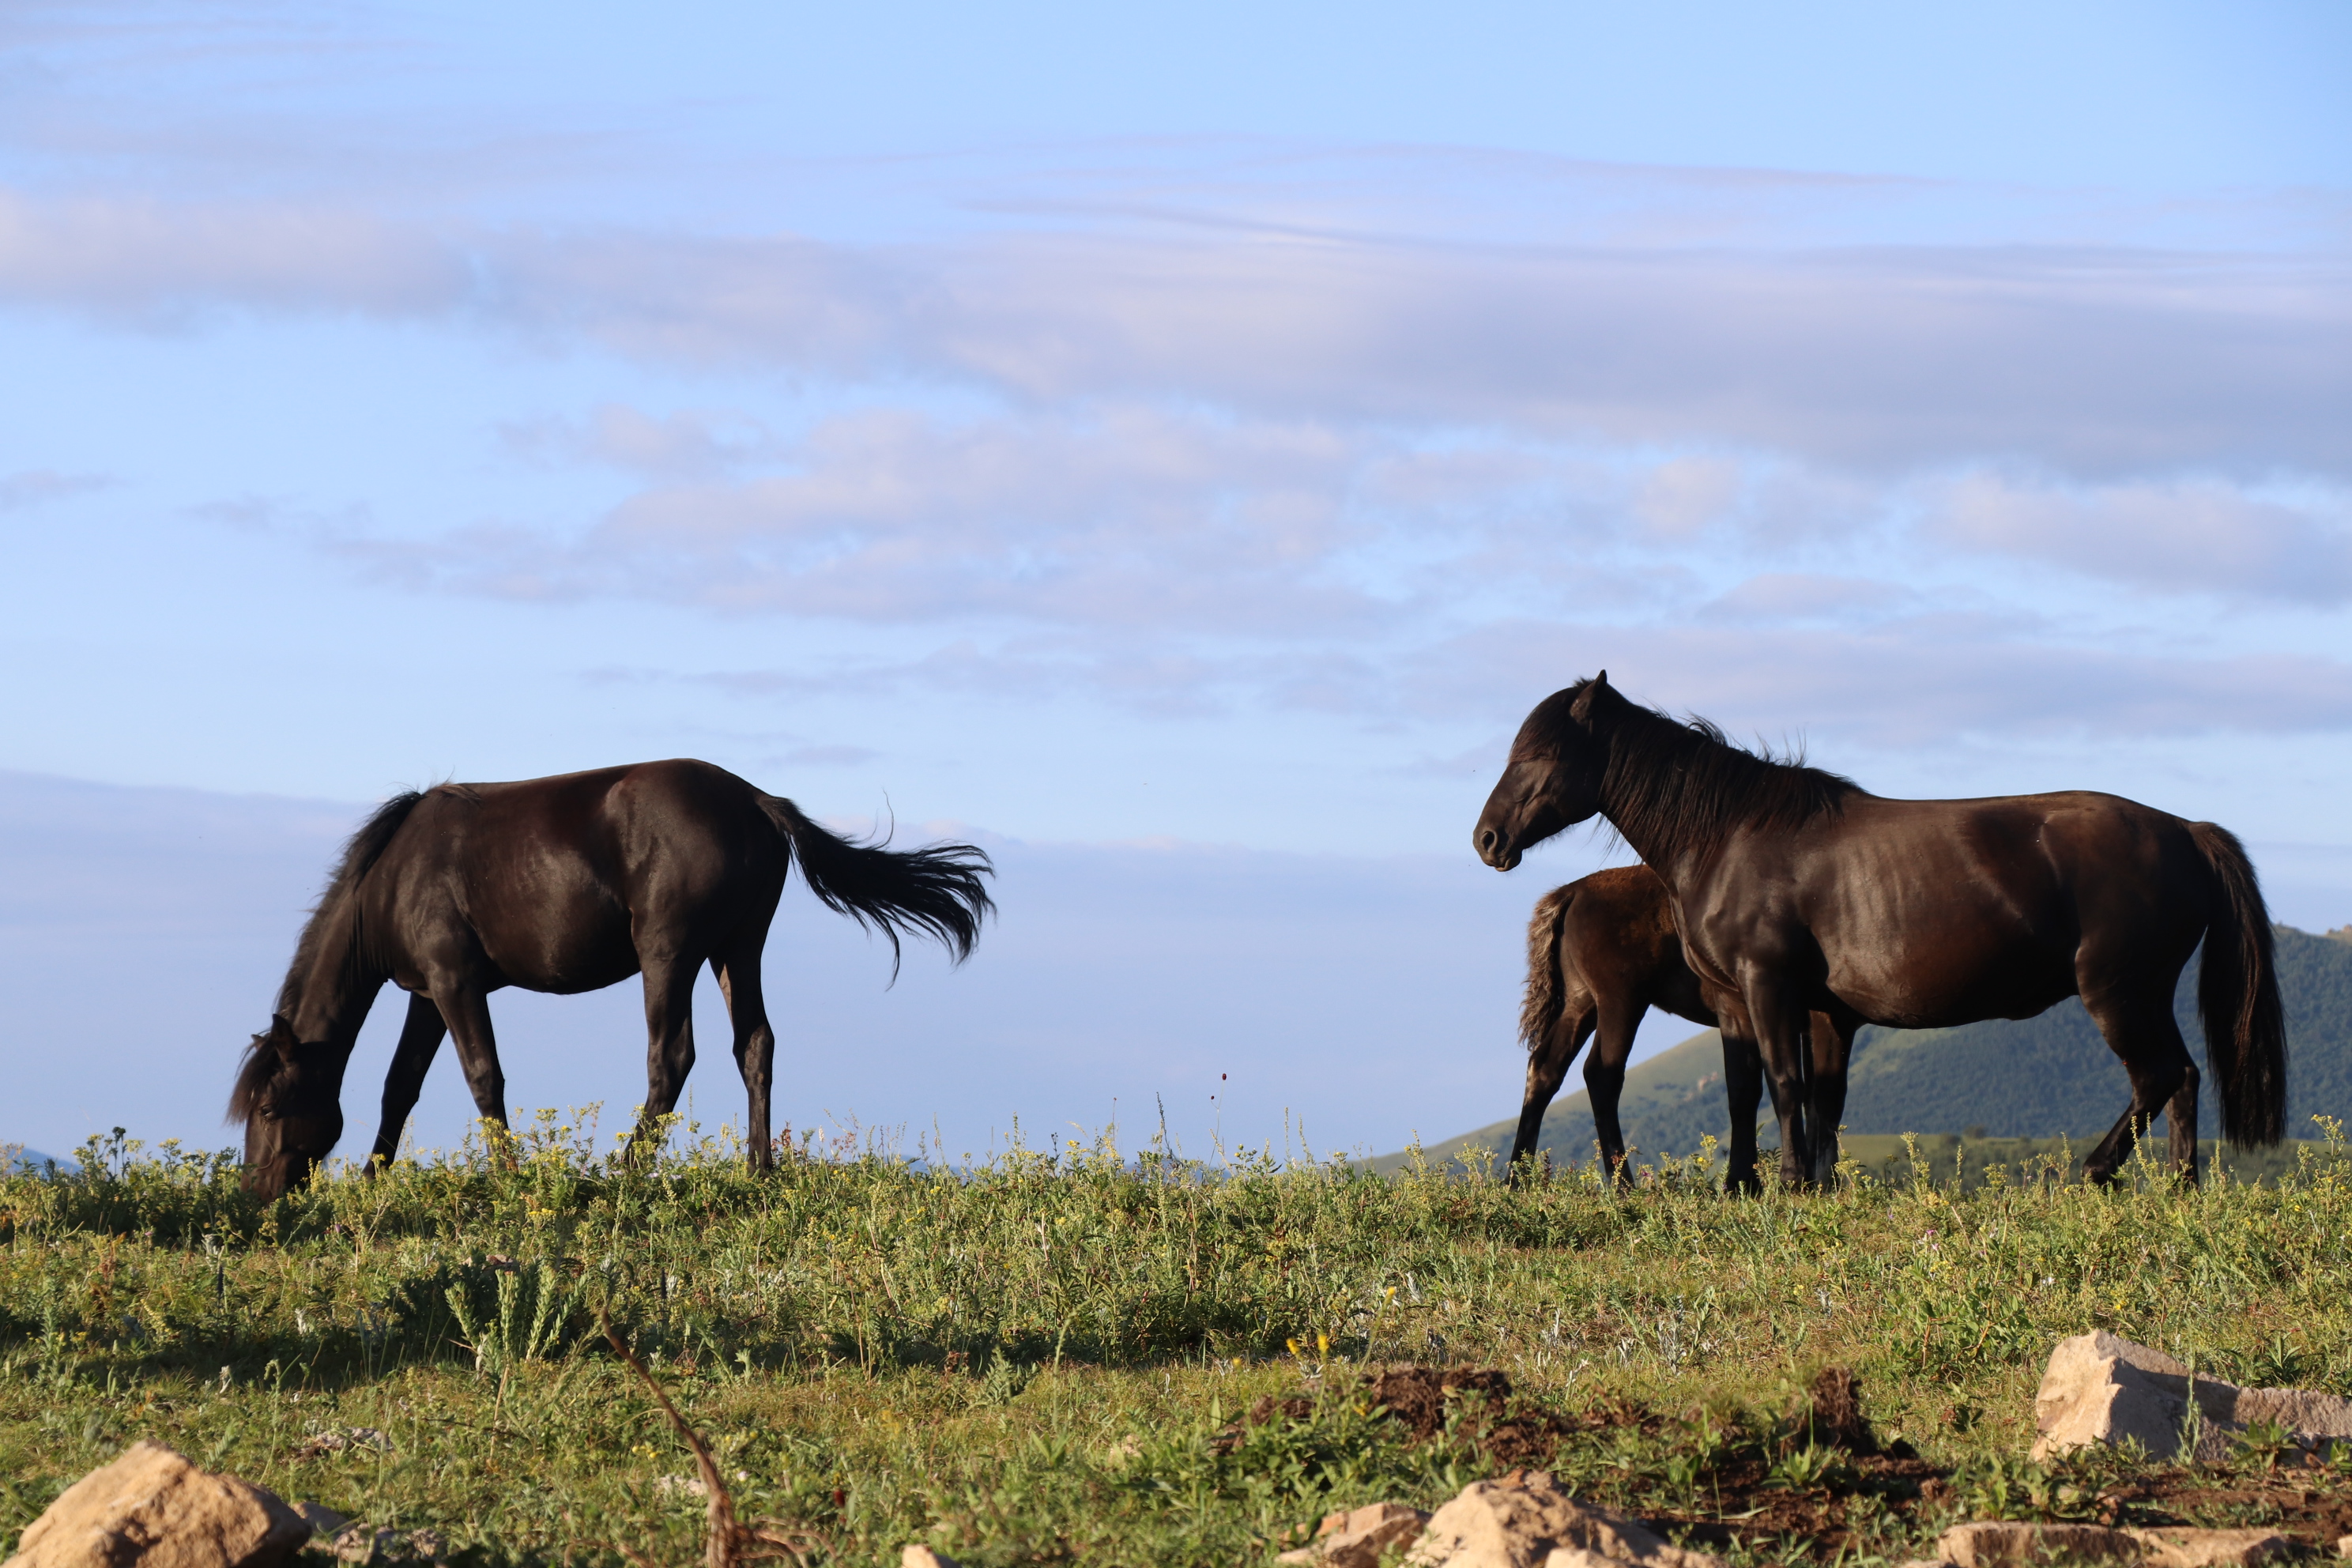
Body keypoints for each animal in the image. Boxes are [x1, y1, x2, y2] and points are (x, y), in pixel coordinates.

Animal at [241, 756, 1001, 1189]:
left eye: (271, 1109)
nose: (257, 1197)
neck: (394, 879)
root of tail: (755, 800)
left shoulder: (455, 984)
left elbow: (484, 1078)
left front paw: (511, 1180)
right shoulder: (427, 996)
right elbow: (400, 1088)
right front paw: (373, 1180)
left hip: (668, 954)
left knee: (672, 1058)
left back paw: (623, 1174)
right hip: (737, 948)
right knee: (754, 1045)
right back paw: (758, 1172)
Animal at [1505, 860, 1853, 1189]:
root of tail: (1573, 891)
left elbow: (1815, 1099)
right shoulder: (1829, 1020)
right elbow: (1821, 1096)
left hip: (1582, 1004)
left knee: (1546, 1067)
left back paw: (1516, 1179)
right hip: (1621, 1003)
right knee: (1602, 1074)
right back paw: (1624, 1186)